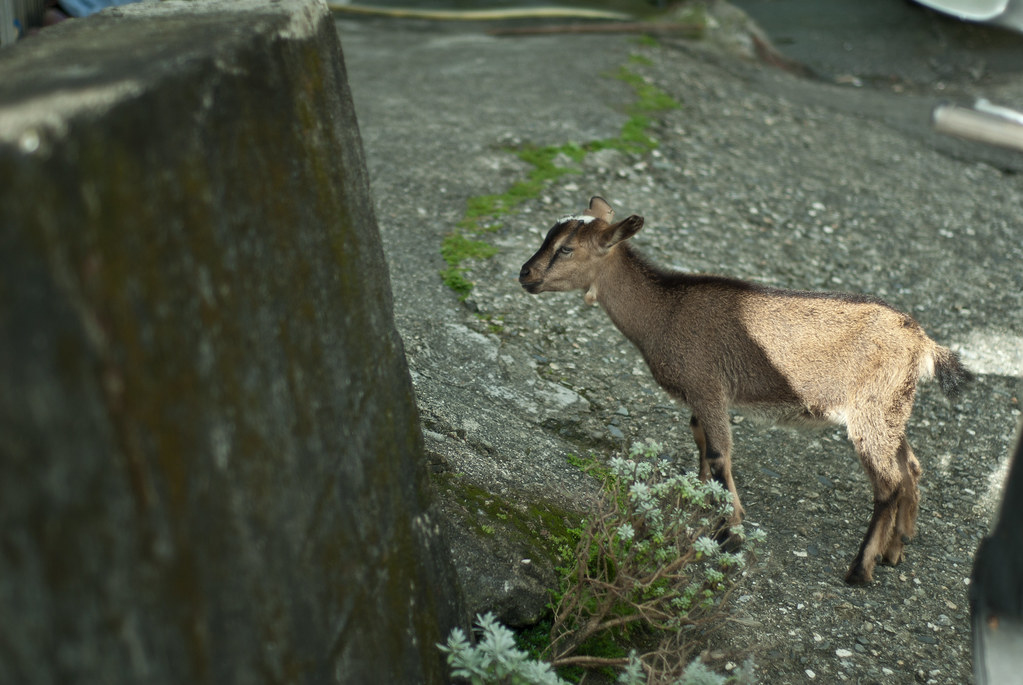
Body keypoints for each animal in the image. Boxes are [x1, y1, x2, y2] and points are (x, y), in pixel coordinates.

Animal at [519, 196, 973, 588]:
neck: (664, 312)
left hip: (871, 408)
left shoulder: (707, 384)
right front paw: (700, 503)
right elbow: (701, 439)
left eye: (566, 249)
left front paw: (731, 534)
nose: (524, 274)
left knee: (888, 484)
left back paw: (861, 569)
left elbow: (720, 454)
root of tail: (922, 343)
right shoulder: (699, 393)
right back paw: (896, 549)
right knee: (910, 466)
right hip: (891, 407)